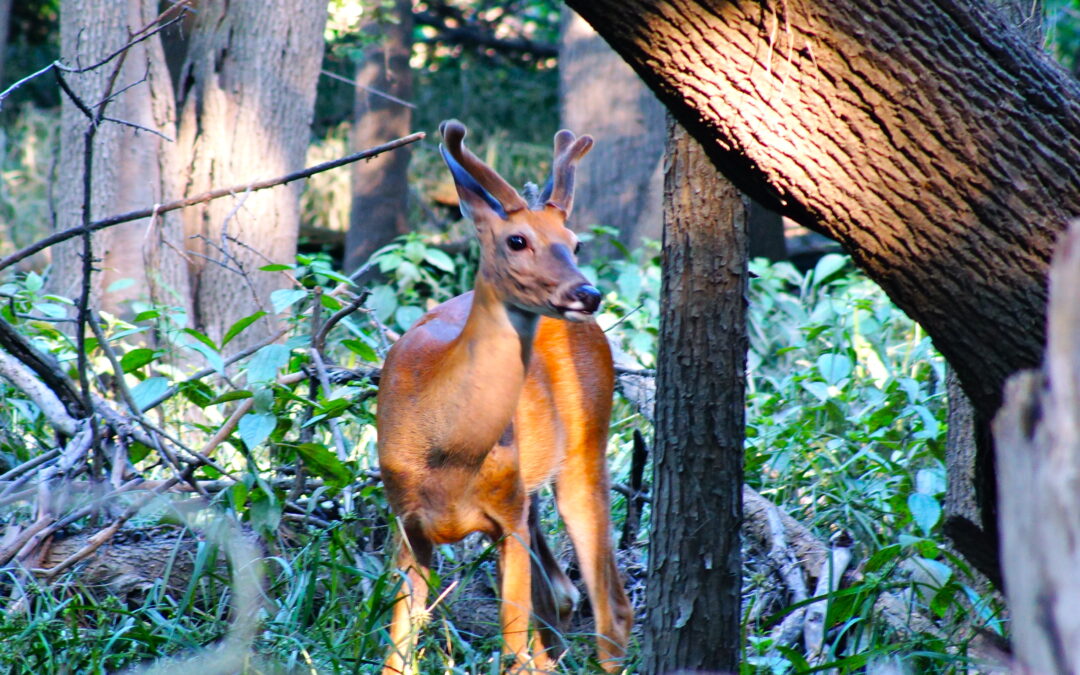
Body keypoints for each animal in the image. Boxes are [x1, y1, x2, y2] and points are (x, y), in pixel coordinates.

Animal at [378, 118, 630, 669]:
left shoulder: (507, 520)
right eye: (517, 239)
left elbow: (513, 650)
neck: (448, 453)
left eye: (575, 243)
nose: (587, 293)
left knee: (610, 611)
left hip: (585, 449)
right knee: (562, 597)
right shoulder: (407, 524)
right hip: (532, 490)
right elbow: (397, 654)